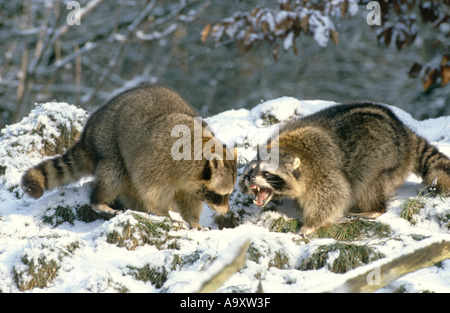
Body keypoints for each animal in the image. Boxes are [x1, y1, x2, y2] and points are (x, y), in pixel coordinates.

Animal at [21, 84, 237, 227]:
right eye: (220, 195)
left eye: (228, 194)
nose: (227, 212)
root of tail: (87, 134)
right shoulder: (158, 161)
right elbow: (151, 189)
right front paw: (162, 211)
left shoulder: (190, 183)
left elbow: (189, 200)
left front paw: (193, 221)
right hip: (109, 145)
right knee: (113, 176)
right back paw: (100, 201)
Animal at [241, 102, 450, 234]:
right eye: (249, 172)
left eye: (266, 173)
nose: (250, 179)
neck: (287, 146)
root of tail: (405, 132)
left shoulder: (323, 169)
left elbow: (333, 196)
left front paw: (311, 224)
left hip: (386, 161)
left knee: (369, 186)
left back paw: (374, 209)